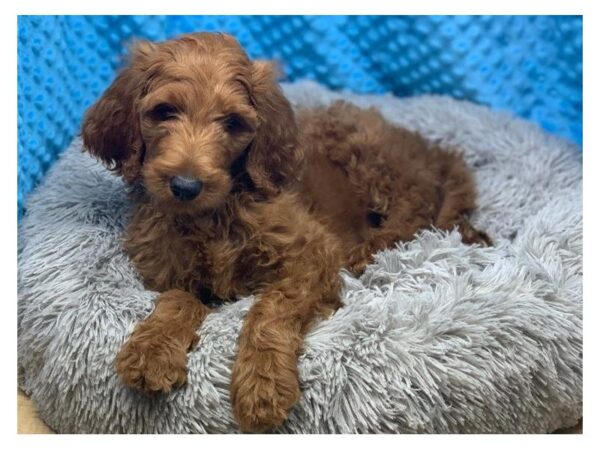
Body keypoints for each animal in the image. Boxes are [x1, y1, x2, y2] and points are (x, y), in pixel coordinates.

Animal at [81, 31, 492, 432]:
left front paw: (263, 384)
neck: (212, 215)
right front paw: (152, 350)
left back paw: (367, 251)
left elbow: (274, 306)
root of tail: (433, 152)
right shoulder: (163, 267)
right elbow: (178, 299)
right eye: (164, 111)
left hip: (371, 158)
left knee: (413, 215)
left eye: (232, 123)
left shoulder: (313, 252)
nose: (185, 186)